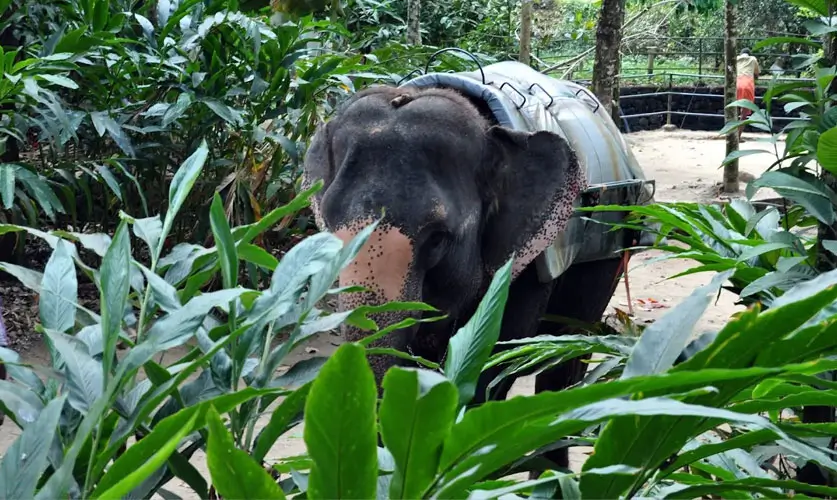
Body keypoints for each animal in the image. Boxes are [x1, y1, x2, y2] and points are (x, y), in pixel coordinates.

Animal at [300, 62, 653, 471]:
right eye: (330, 228)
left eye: (437, 238)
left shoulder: (529, 255)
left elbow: (498, 353)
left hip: (610, 245)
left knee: (566, 356)